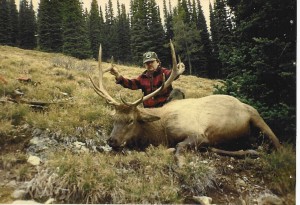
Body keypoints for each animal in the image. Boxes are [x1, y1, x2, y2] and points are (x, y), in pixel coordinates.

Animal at [89, 40, 282, 167]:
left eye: (130, 120)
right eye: (114, 119)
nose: (112, 140)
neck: (160, 130)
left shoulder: (198, 133)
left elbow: (179, 146)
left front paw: (180, 162)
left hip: (256, 116)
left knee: (278, 144)